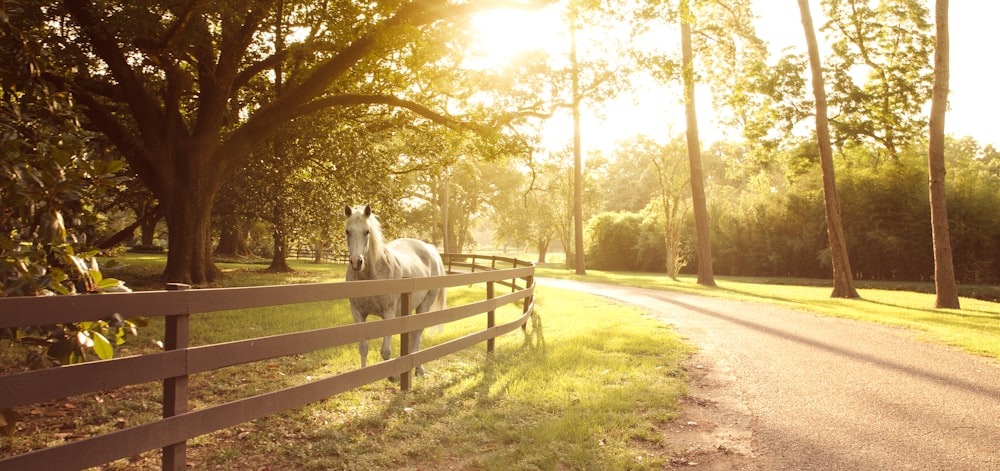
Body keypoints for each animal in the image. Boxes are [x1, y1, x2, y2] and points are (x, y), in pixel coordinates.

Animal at [344, 203, 446, 376]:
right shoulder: (358, 313)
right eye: (347, 231)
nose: (357, 262)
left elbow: (385, 351)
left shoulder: (389, 313)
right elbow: (363, 348)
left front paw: (393, 376)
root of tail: (430, 249)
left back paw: (418, 369)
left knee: (417, 333)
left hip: (424, 306)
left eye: (367, 231)